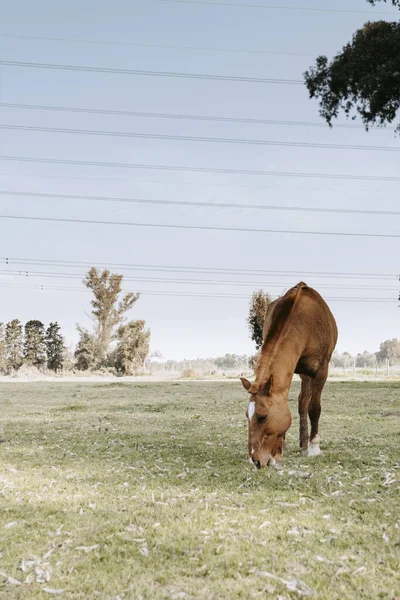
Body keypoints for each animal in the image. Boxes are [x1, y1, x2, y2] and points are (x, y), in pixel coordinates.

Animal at [241, 282, 338, 468]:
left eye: (263, 416)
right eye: (247, 416)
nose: (255, 461)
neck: (304, 322)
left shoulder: (321, 371)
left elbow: (314, 407)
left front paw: (314, 447)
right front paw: (280, 449)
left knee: (305, 403)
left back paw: (307, 446)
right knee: (302, 402)